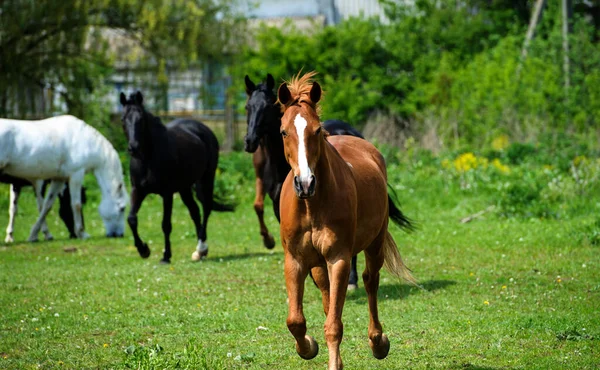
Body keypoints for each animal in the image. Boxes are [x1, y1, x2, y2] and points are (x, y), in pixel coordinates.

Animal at [0, 116, 129, 243]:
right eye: (122, 208)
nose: (119, 235)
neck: (86, 140)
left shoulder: (59, 179)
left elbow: (47, 206)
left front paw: (33, 235)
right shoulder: (76, 175)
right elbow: (76, 205)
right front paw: (82, 233)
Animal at [119, 91, 234, 264]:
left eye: (141, 119)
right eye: (123, 119)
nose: (133, 147)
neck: (148, 159)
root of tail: (204, 129)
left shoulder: (167, 194)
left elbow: (166, 224)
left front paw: (166, 256)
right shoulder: (137, 190)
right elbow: (131, 219)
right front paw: (143, 250)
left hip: (206, 180)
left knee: (206, 208)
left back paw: (201, 247)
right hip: (184, 188)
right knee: (195, 211)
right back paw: (200, 252)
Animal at [278, 71, 414, 368]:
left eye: (317, 130)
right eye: (283, 132)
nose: (305, 183)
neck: (311, 205)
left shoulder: (338, 258)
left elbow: (333, 325)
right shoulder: (295, 259)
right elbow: (296, 320)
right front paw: (308, 347)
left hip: (374, 245)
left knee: (370, 281)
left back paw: (378, 342)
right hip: (318, 264)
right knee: (328, 295)